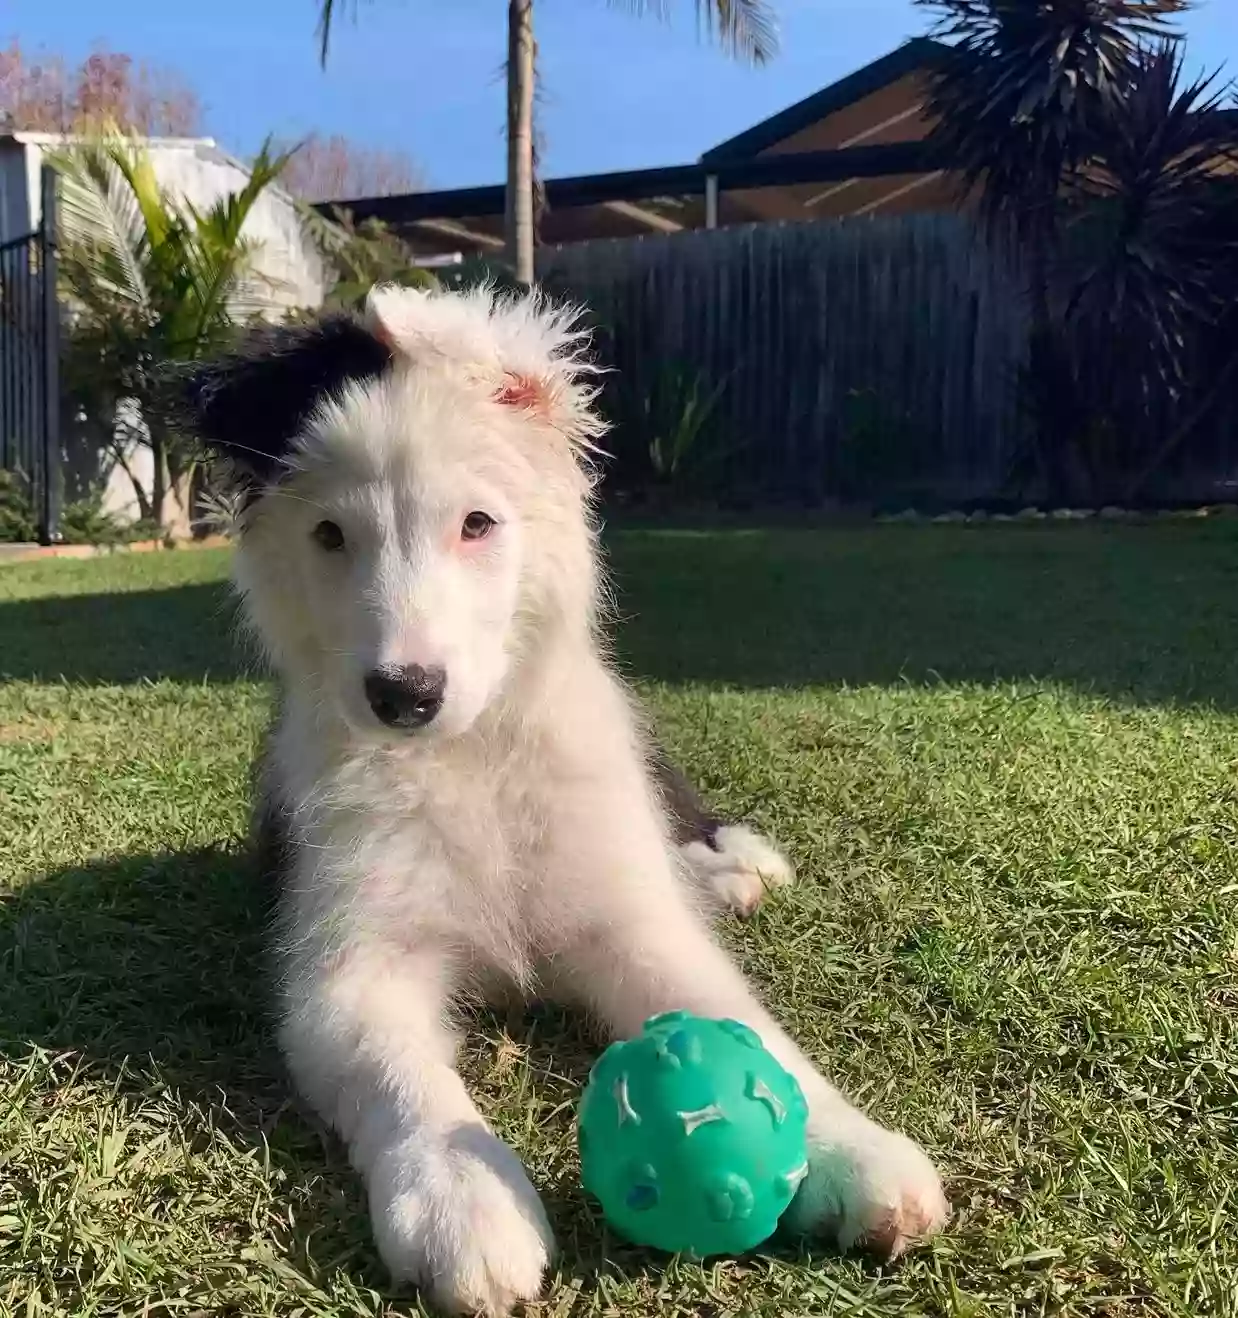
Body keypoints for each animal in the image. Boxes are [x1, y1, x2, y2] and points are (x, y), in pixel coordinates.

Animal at [174, 283, 949, 1312]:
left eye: (477, 524)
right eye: (330, 536)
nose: (404, 694)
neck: (467, 758)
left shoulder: (630, 919)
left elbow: (746, 1022)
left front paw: (853, 1149)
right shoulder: (346, 967)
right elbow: (403, 1078)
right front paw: (464, 1203)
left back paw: (734, 868)